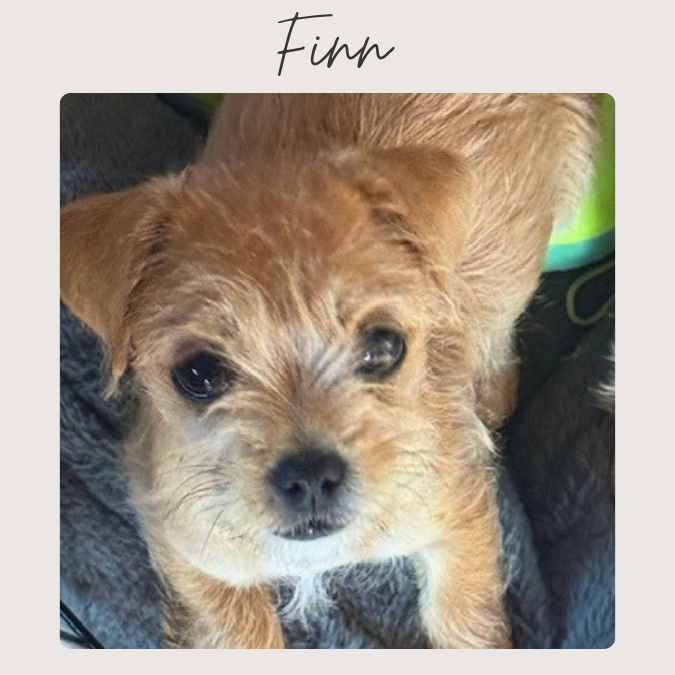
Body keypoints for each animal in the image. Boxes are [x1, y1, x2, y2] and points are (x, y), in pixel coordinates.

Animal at [60, 94, 599, 648]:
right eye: (200, 374)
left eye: (383, 347)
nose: (310, 476)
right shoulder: (190, 546)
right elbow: (244, 632)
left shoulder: (457, 516)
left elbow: (463, 619)